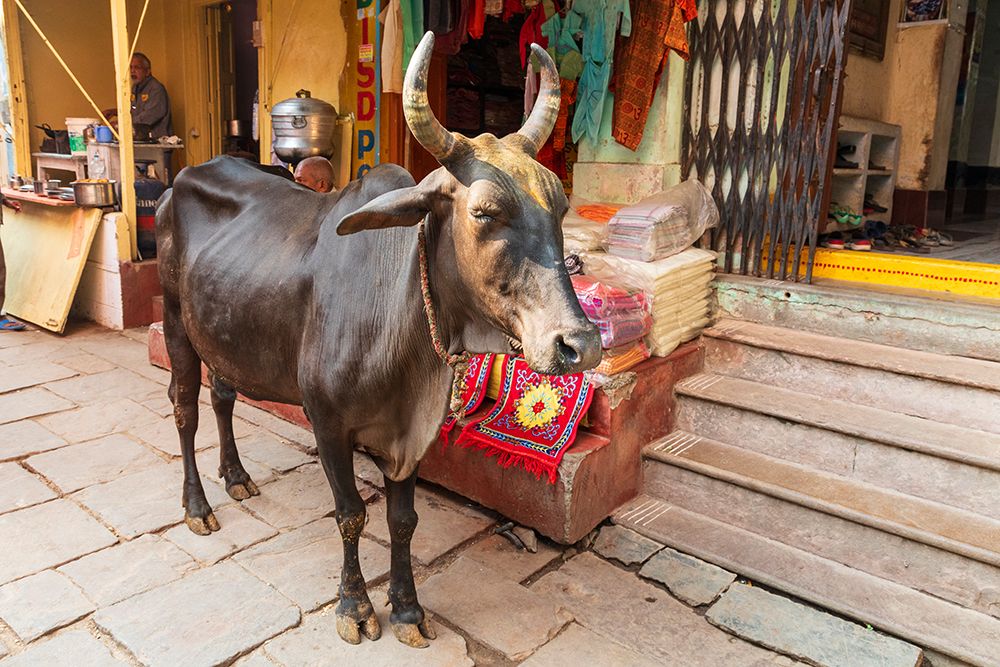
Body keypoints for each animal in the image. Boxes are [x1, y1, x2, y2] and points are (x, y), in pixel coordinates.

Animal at [156, 31, 601, 648]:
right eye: (485, 211)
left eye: (560, 206)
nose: (579, 343)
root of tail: (180, 181)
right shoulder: (327, 422)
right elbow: (351, 515)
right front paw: (356, 606)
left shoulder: (411, 435)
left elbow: (402, 520)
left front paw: (408, 609)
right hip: (176, 323)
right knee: (185, 409)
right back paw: (197, 505)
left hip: (223, 331)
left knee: (223, 397)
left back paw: (238, 477)